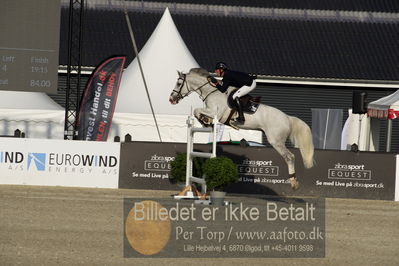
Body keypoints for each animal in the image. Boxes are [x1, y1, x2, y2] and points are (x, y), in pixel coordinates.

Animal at [170, 68, 316, 189]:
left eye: (178, 83)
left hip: (276, 141)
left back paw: (294, 182)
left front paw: (206, 121)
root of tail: (287, 118)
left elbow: (197, 110)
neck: (211, 92)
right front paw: (206, 122)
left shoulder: (216, 112)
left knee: (290, 157)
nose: (171, 99)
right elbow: (197, 112)